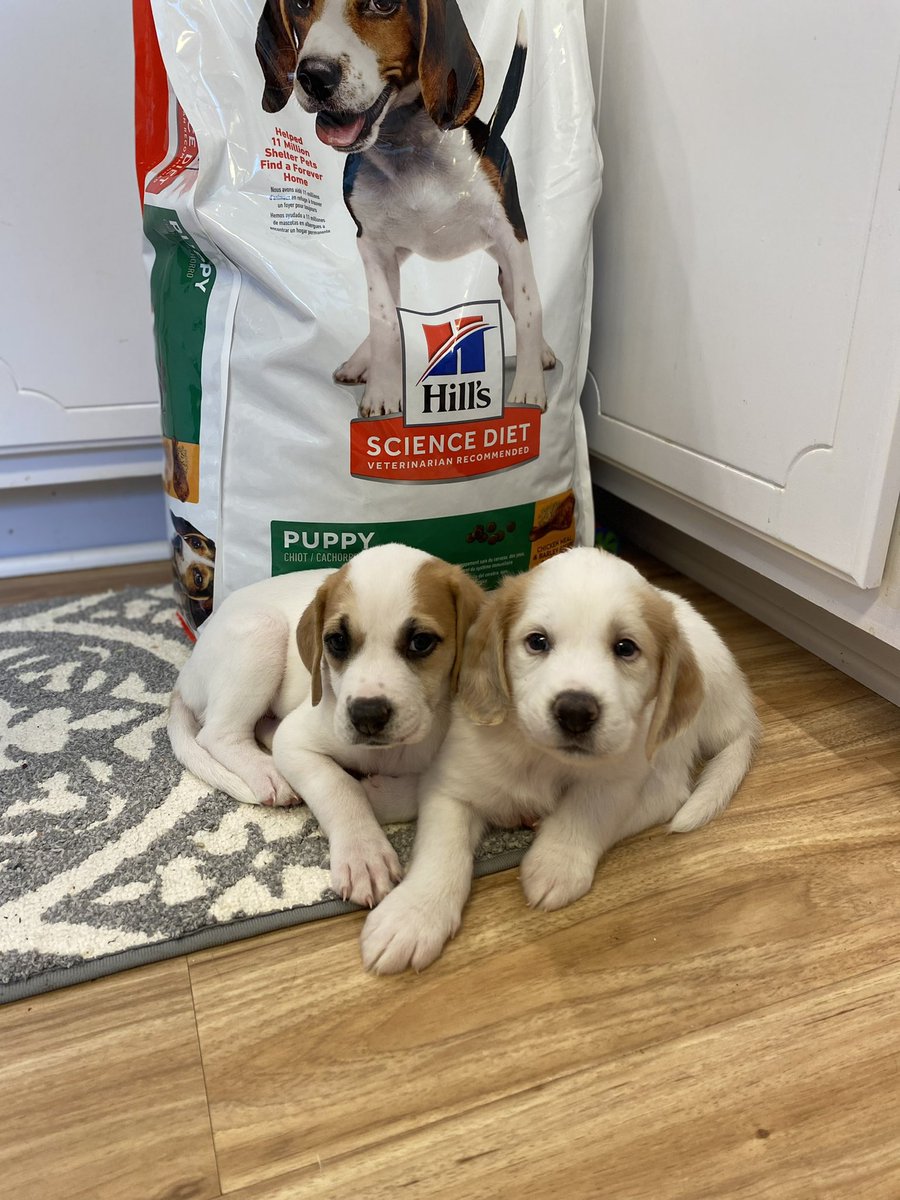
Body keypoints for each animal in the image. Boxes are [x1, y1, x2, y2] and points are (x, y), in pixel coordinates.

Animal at [165, 542, 482, 902]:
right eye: (337, 641)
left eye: (421, 642)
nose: (367, 715)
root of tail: (186, 672)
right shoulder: (296, 741)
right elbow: (338, 787)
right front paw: (363, 853)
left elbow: (420, 787)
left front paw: (379, 794)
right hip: (262, 630)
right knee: (218, 735)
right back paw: (267, 772)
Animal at [255, 0, 556, 420]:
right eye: (299, 4)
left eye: (383, 4)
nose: (313, 76)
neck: (409, 151)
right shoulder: (373, 249)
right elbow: (384, 323)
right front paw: (382, 393)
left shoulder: (512, 240)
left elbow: (530, 310)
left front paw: (528, 389)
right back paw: (359, 361)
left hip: (505, 265)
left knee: (524, 303)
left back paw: (541, 354)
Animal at [360, 549, 763, 969]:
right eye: (537, 641)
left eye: (625, 648)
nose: (575, 711)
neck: (541, 757)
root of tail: (740, 709)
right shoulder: (454, 786)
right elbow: (442, 848)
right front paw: (413, 915)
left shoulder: (620, 774)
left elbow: (587, 809)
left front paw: (557, 861)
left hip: (668, 745)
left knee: (667, 796)